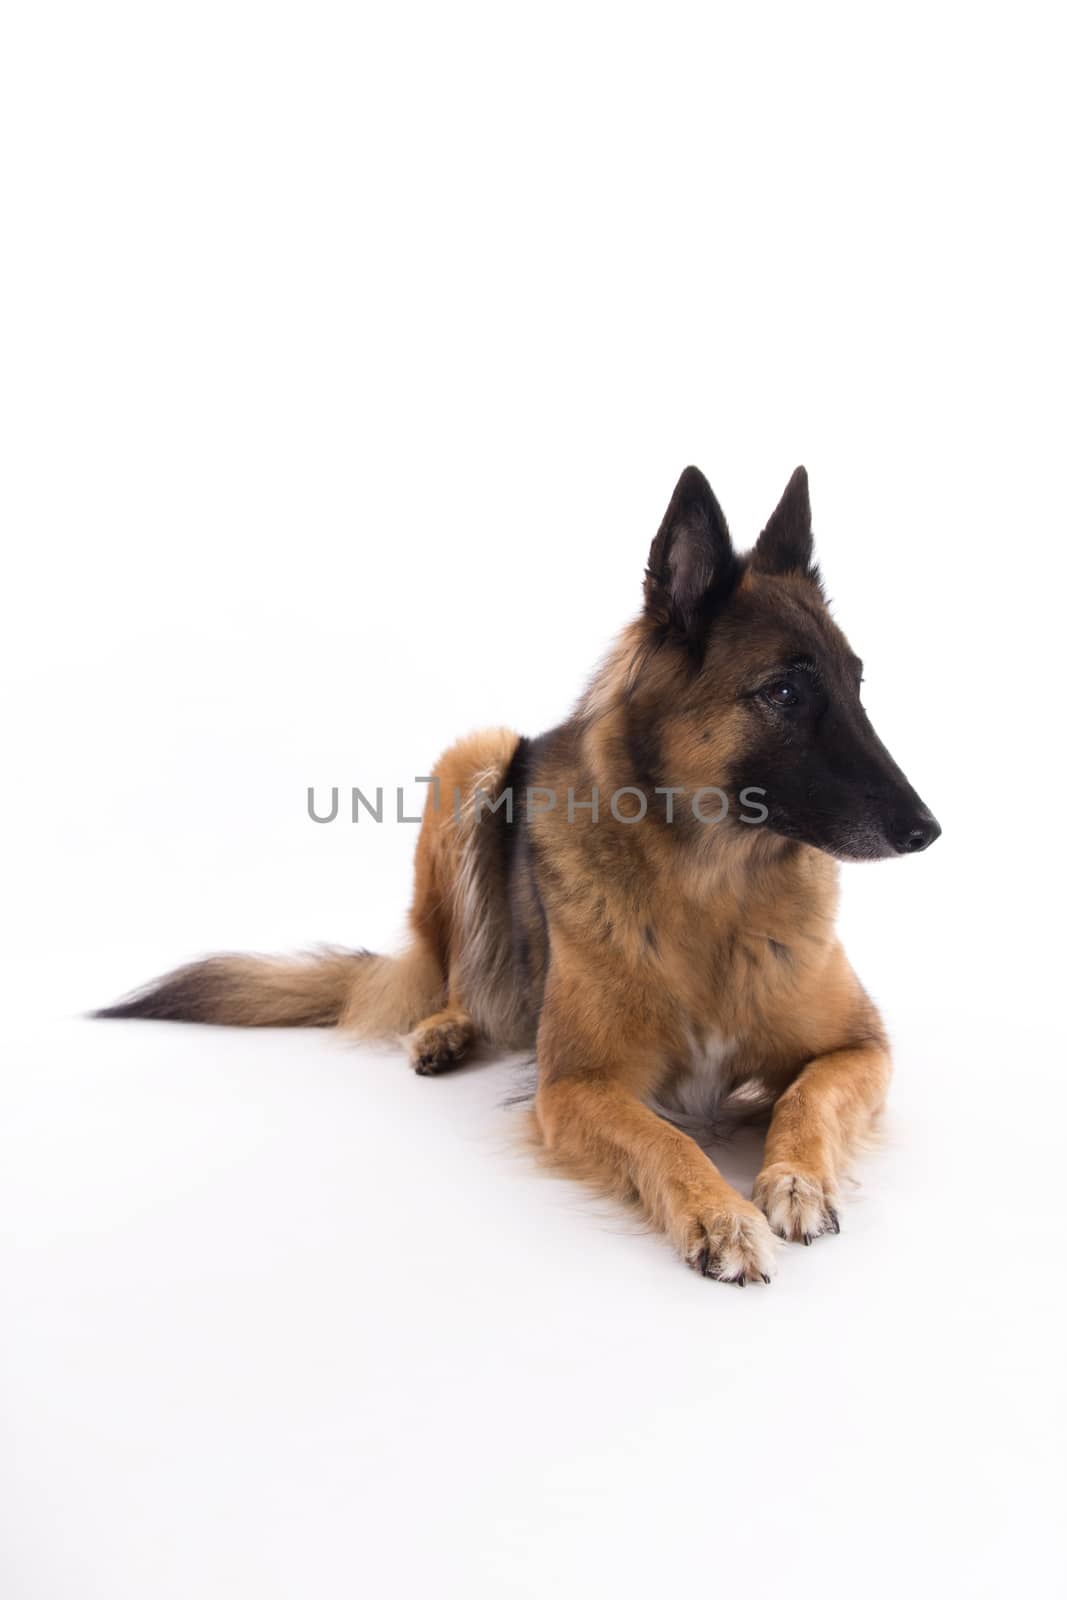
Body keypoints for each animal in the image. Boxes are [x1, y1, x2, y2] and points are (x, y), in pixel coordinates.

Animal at [99, 467, 940, 1286]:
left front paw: (796, 1178)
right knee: (452, 971)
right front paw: (720, 1216)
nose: (928, 831)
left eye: (857, 685)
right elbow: (666, 1142)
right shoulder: (574, 1088)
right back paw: (445, 1027)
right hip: (472, 760)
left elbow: (807, 1099)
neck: (711, 891)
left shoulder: (861, 1048)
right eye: (784, 693)